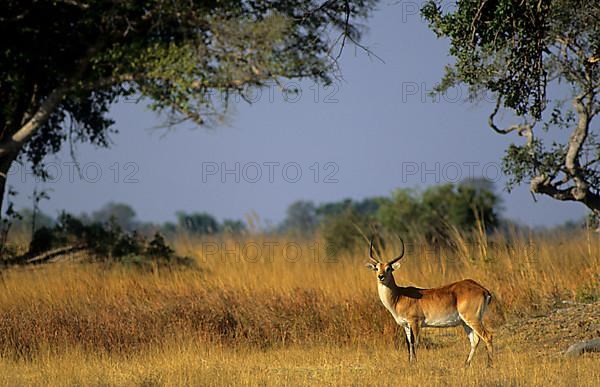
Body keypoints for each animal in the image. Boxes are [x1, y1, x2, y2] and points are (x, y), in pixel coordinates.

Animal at [368, 236, 494, 366]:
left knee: (488, 336)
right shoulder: (405, 325)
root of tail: (483, 289)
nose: (380, 276)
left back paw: (489, 365)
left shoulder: (415, 322)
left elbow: (415, 343)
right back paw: (466, 364)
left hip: (473, 319)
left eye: (388, 268)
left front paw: (415, 364)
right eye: (377, 268)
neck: (399, 296)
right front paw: (410, 363)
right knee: (475, 340)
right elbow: (409, 345)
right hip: (465, 322)